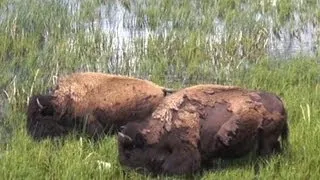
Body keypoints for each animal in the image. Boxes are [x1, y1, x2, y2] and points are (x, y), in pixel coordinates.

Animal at [118, 84, 290, 176]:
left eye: (128, 152)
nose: (125, 171)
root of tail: (280, 100)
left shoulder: (185, 150)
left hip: (267, 140)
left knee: (265, 154)